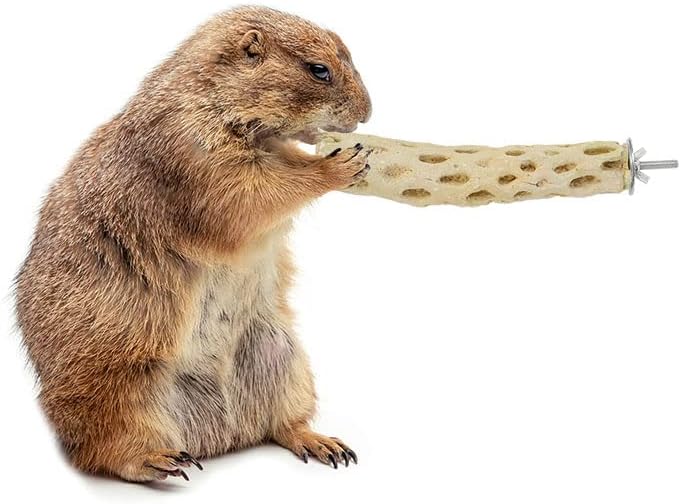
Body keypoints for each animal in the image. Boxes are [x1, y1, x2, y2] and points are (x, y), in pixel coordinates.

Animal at [14, 6, 371, 482]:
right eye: (319, 70)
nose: (368, 112)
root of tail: (222, 438)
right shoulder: (191, 149)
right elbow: (246, 194)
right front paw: (340, 164)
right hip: (120, 387)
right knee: (101, 448)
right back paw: (157, 459)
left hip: (285, 360)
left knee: (279, 424)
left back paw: (319, 441)